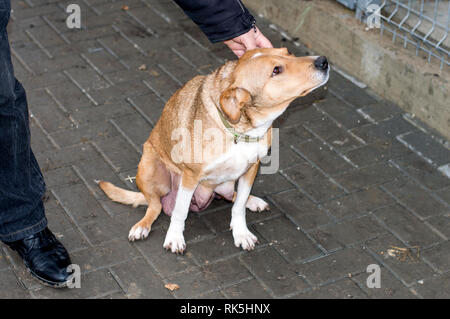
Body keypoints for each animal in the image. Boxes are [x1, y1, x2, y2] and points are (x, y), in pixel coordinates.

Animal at [98, 47, 328, 254]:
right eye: (276, 70)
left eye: (288, 53)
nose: (323, 61)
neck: (239, 131)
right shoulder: (190, 176)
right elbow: (180, 212)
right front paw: (175, 237)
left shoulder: (251, 169)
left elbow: (239, 205)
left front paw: (241, 232)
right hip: (151, 169)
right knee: (155, 206)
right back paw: (142, 227)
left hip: (224, 183)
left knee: (230, 196)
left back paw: (253, 201)